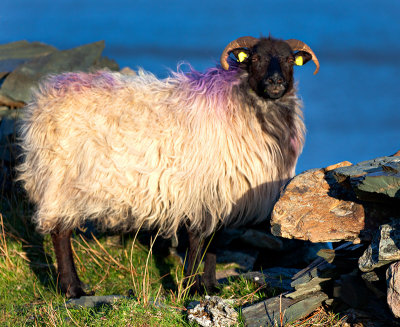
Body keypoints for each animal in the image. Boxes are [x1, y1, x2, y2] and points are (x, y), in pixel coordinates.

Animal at [18, 36, 318, 300]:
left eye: (289, 60)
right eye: (255, 58)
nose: (276, 82)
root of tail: (43, 101)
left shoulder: (222, 193)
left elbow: (214, 243)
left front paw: (210, 286)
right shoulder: (202, 190)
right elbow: (197, 240)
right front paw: (190, 287)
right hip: (60, 179)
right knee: (60, 232)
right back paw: (73, 289)